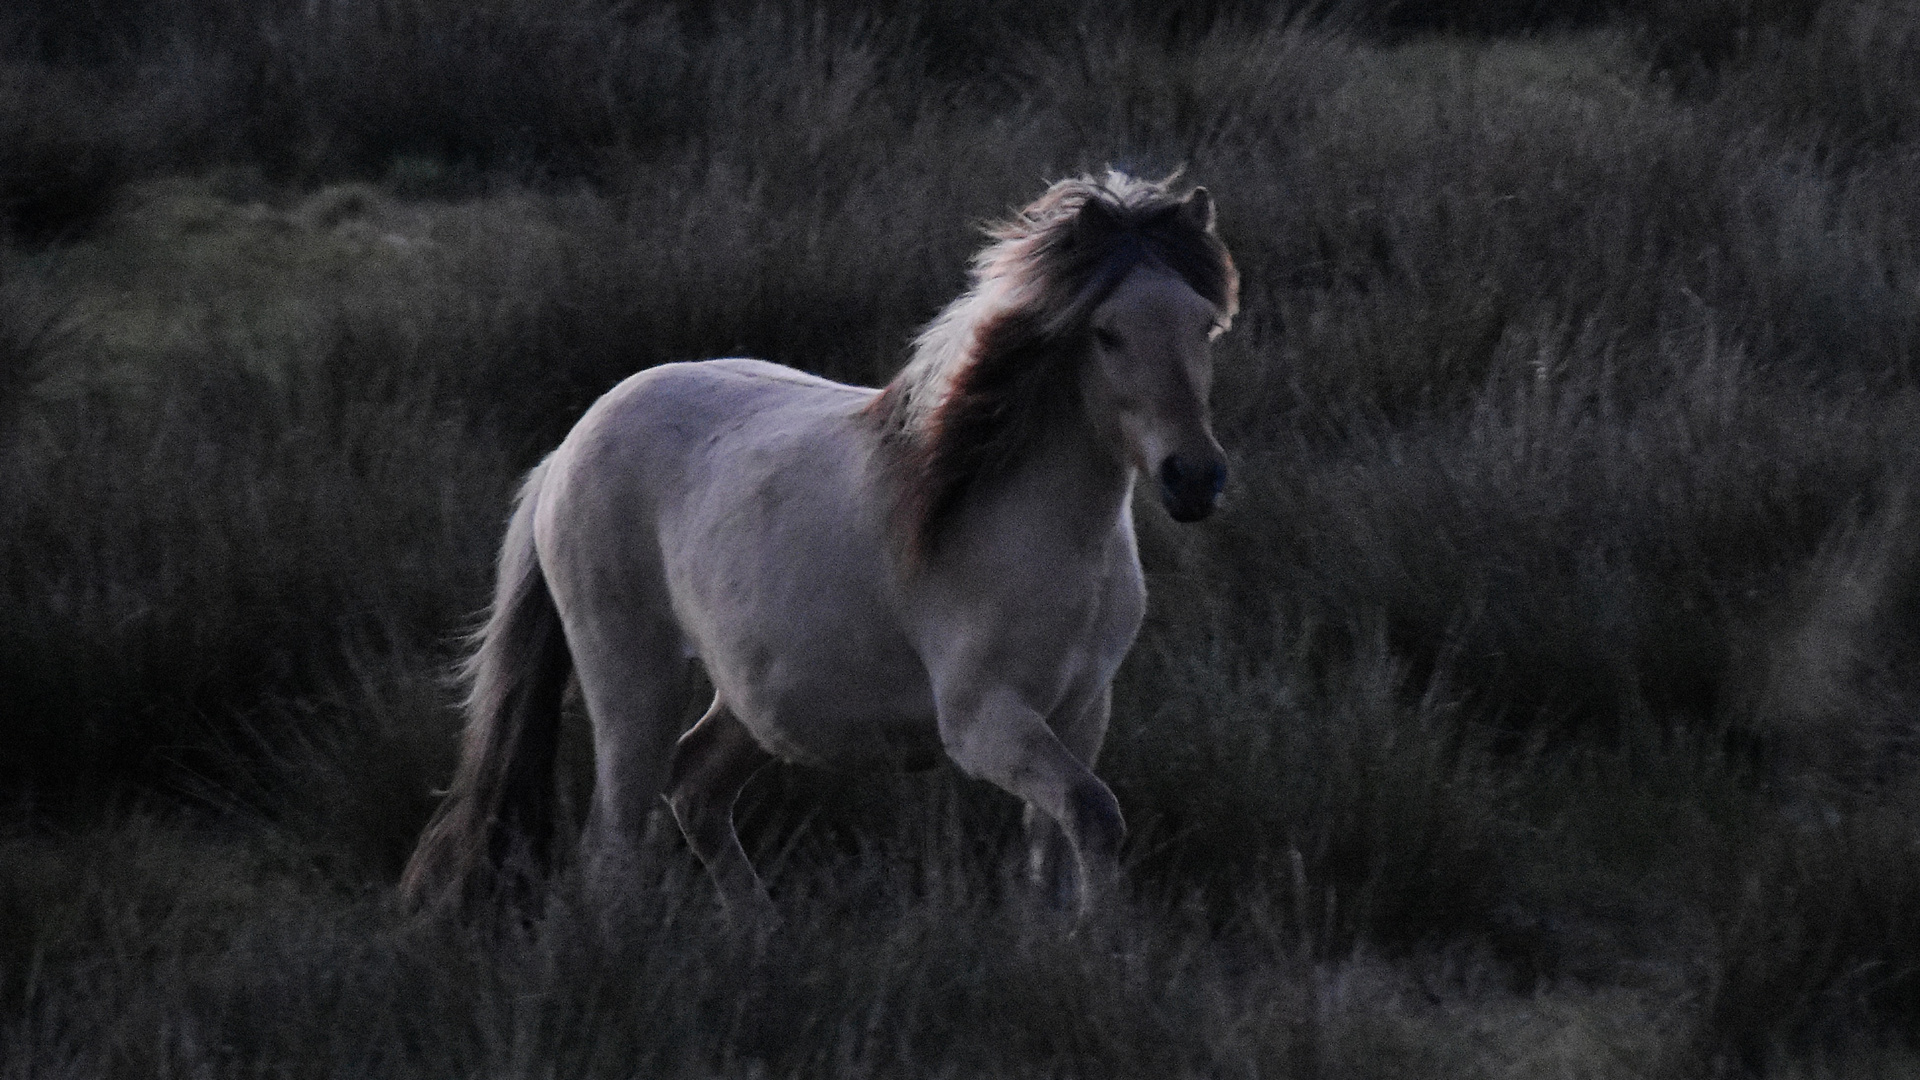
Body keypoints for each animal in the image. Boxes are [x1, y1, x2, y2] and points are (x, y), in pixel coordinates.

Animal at [405, 170, 1244, 914]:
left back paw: (758, 935)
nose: (1194, 478)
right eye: (1106, 333)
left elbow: (1055, 848)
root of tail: (567, 448)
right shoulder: (984, 722)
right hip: (628, 677)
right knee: (614, 843)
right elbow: (1094, 816)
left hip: (749, 699)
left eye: (1207, 324)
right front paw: (1104, 945)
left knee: (695, 787)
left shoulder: (1080, 712)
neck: (1045, 534)